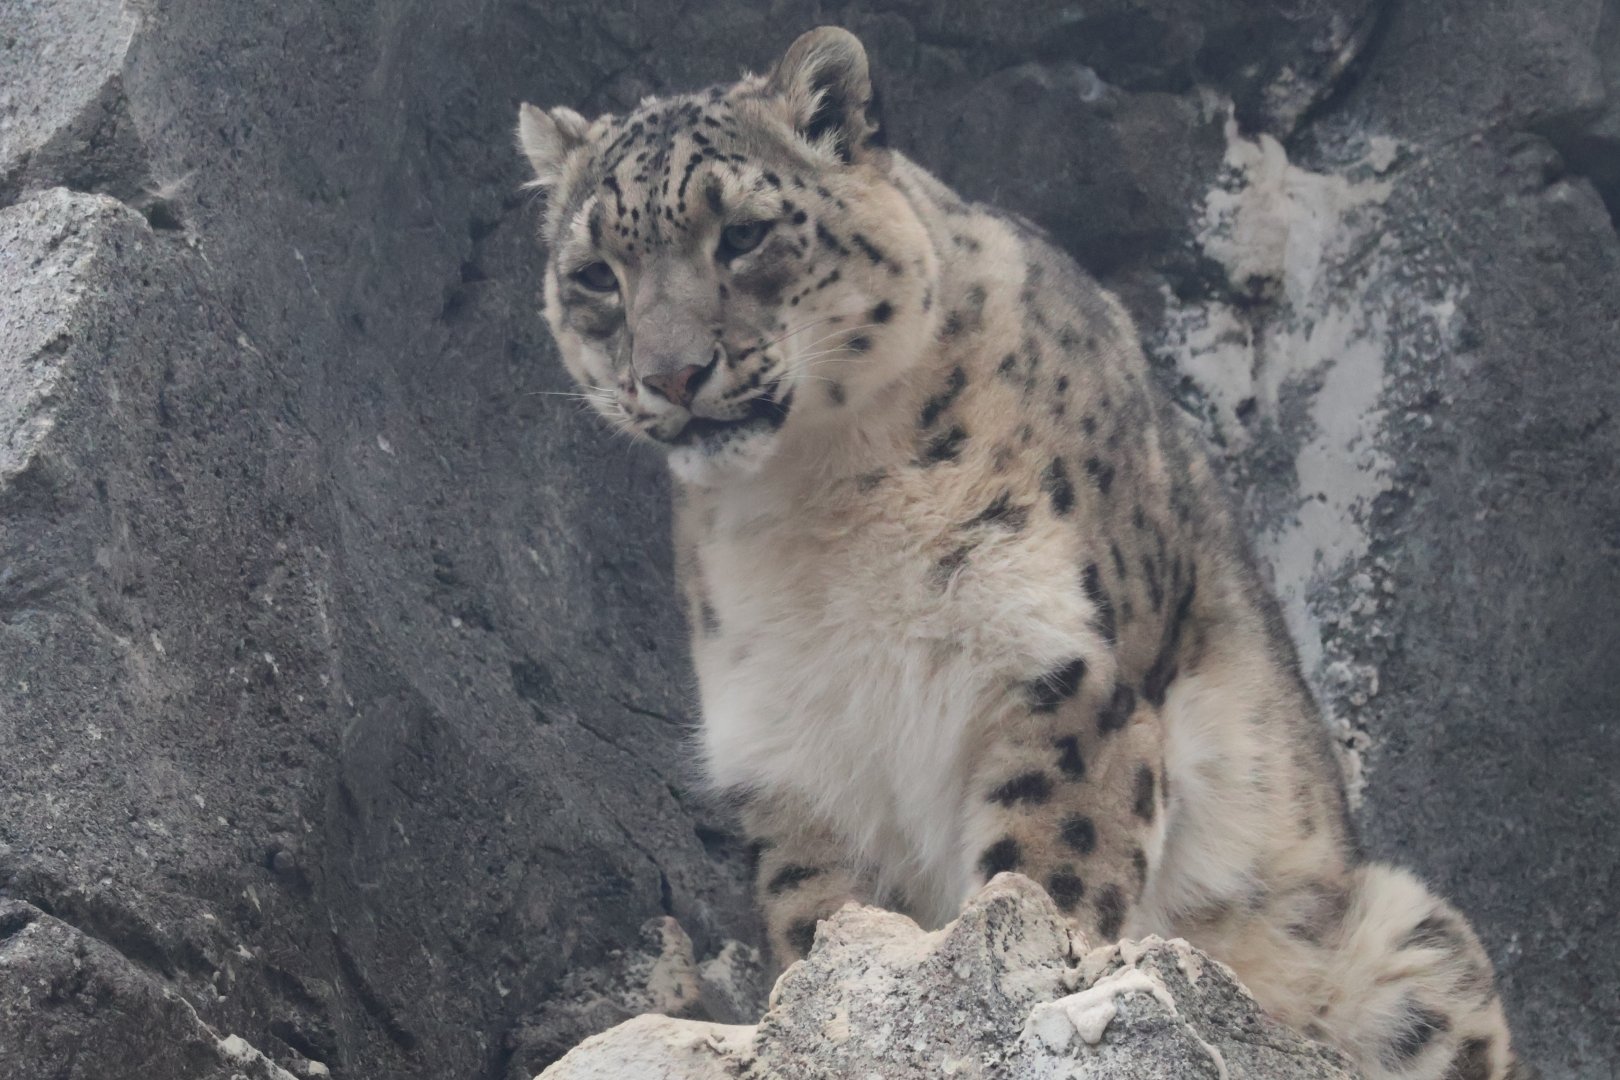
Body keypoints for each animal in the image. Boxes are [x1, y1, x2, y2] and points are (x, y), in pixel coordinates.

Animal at [515, 26, 1526, 1080]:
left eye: (744, 233)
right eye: (595, 274)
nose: (670, 374)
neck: (817, 501)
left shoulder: (1063, 675)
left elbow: (1042, 871)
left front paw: (1002, 984)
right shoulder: (793, 749)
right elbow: (824, 919)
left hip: (1407, 941)